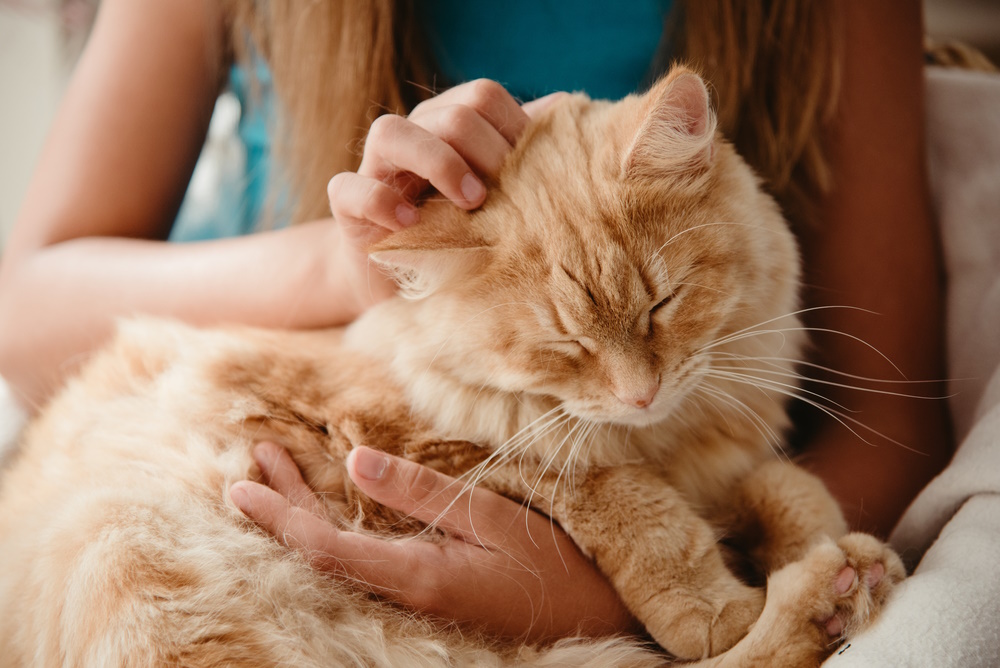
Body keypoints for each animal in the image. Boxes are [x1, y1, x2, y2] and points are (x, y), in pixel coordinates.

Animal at [0, 69, 908, 668]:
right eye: (566, 347)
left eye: (662, 305)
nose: (640, 393)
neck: (669, 440)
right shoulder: (426, 443)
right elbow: (631, 504)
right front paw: (716, 604)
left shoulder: (722, 461)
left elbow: (783, 485)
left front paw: (817, 541)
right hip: (128, 549)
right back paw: (822, 599)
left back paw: (843, 586)